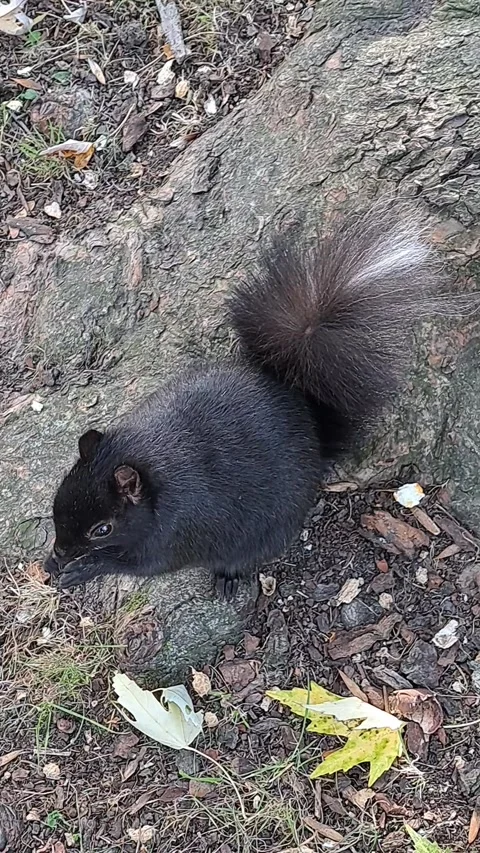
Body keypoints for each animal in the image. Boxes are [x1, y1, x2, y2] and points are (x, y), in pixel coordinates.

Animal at [45, 205, 441, 597]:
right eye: (58, 495)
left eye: (103, 529)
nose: (62, 551)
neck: (148, 467)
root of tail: (310, 424)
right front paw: (53, 561)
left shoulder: (174, 534)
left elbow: (139, 564)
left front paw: (86, 567)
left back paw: (227, 577)